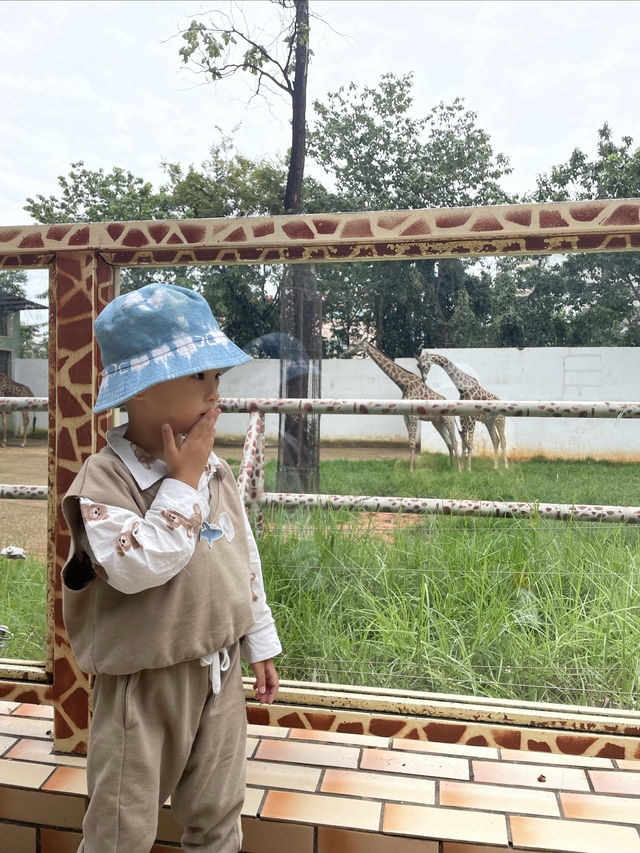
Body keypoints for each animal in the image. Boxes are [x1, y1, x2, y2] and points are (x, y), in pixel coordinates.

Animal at [342, 342, 462, 472]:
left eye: (354, 344)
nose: (344, 352)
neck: (404, 385)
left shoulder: (414, 415)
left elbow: (413, 442)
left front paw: (411, 470)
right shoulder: (405, 415)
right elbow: (410, 442)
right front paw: (410, 468)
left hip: (448, 420)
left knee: (455, 441)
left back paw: (460, 470)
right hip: (438, 422)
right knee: (448, 442)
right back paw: (452, 468)